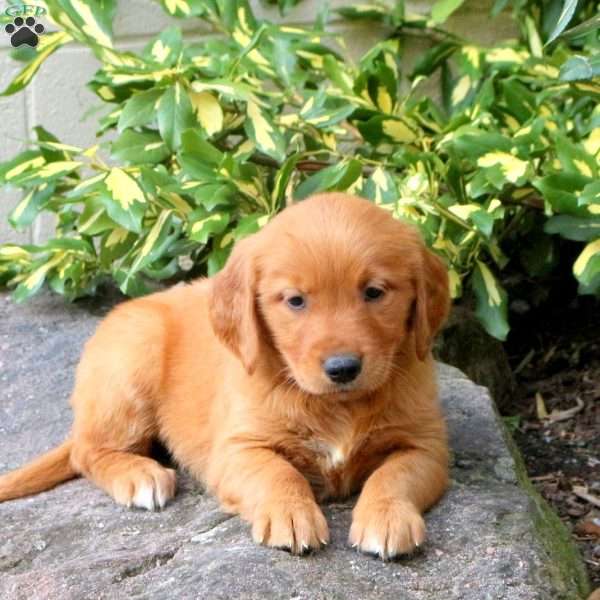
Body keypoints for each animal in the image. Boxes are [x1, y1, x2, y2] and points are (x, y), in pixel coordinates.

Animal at [0, 192, 450, 556]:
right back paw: (139, 475)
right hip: (131, 361)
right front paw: (291, 514)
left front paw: (387, 517)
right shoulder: (237, 448)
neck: (335, 405)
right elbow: (277, 472)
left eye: (374, 292)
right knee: (87, 450)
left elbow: (394, 475)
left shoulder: (425, 444)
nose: (342, 369)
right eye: (295, 301)